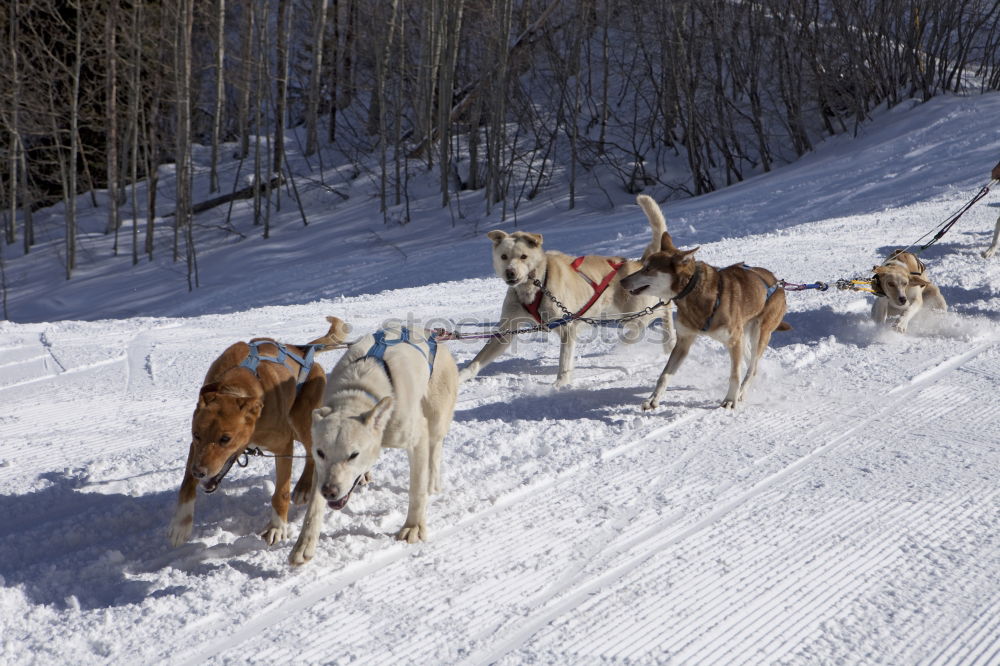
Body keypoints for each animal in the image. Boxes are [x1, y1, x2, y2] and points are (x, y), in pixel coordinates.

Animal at [166, 316, 350, 544]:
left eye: (225, 439)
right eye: (196, 435)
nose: (199, 471)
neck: (235, 388)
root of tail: (304, 352)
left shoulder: (283, 446)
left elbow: (281, 492)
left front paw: (277, 527)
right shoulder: (195, 448)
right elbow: (186, 483)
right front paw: (181, 523)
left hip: (301, 421)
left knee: (311, 452)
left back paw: (304, 487)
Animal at [288, 324, 458, 564]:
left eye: (353, 454)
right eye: (320, 453)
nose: (329, 491)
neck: (358, 390)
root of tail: (432, 334)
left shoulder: (417, 438)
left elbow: (416, 491)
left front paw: (413, 526)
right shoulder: (321, 472)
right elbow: (314, 508)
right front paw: (304, 544)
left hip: (436, 417)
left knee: (435, 449)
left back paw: (432, 482)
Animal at [458, 192, 676, 386]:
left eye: (523, 256)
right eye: (504, 256)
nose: (510, 273)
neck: (536, 286)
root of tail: (637, 263)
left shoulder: (566, 326)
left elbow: (564, 362)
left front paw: (560, 384)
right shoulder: (506, 330)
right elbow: (477, 361)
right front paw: (460, 377)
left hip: (633, 314)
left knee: (662, 310)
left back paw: (665, 342)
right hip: (616, 314)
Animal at [620, 205, 792, 408]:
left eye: (648, 269)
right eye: (642, 266)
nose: (622, 281)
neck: (693, 293)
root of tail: (777, 283)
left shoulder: (734, 340)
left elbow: (735, 375)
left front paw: (730, 400)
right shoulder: (684, 341)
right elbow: (664, 375)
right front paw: (653, 399)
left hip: (759, 332)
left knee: (752, 368)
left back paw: (741, 392)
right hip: (745, 335)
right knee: (751, 362)